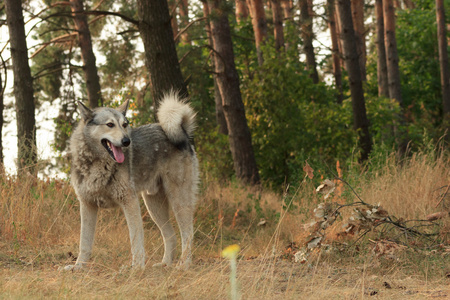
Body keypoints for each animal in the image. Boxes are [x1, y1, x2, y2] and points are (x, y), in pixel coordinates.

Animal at [64, 92, 198, 270]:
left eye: (124, 124)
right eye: (110, 124)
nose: (127, 141)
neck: (97, 163)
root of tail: (182, 131)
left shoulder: (130, 202)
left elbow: (136, 240)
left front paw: (136, 268)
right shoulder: (87, 205)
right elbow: (84, 243)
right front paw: (78, 267)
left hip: (178, 202)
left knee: (187, 234)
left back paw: (184, 265)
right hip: (154, 206)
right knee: (170, 235)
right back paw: (165, 264)